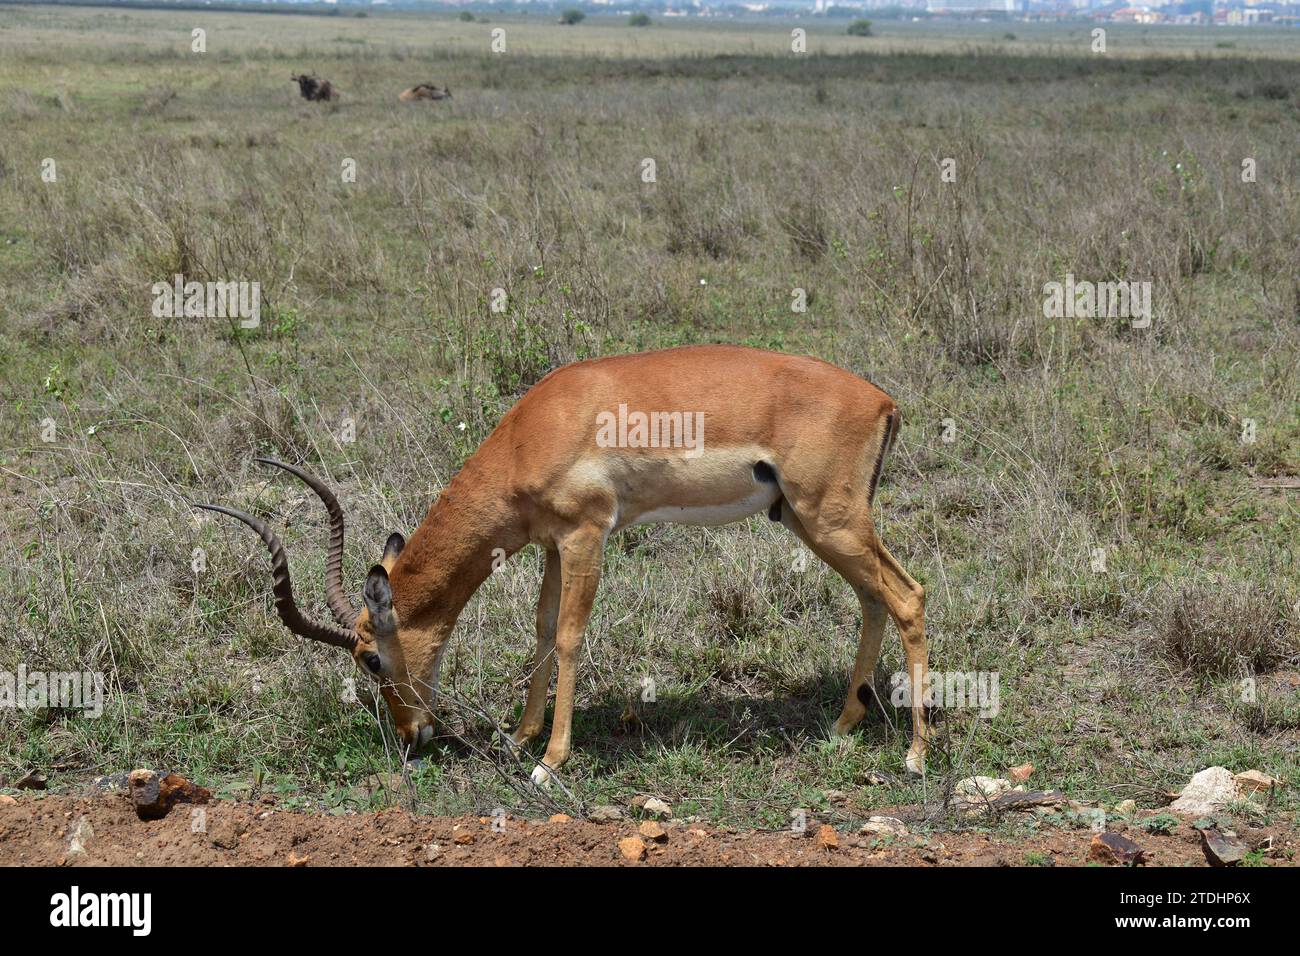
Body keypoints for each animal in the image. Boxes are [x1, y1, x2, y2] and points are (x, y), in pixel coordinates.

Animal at [197, 343, 930, 785]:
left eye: (371, 659)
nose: (412, 735)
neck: (537, 429)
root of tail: (883, 400)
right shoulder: (551, 543)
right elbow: (544, 631)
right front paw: (519, 738)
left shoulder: (585, 535)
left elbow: (573, 636)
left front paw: (550, 761)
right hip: (811, 523)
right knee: (873, 599)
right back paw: (841, 727)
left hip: (831, 520)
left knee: (908, 596)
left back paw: (917, 754)